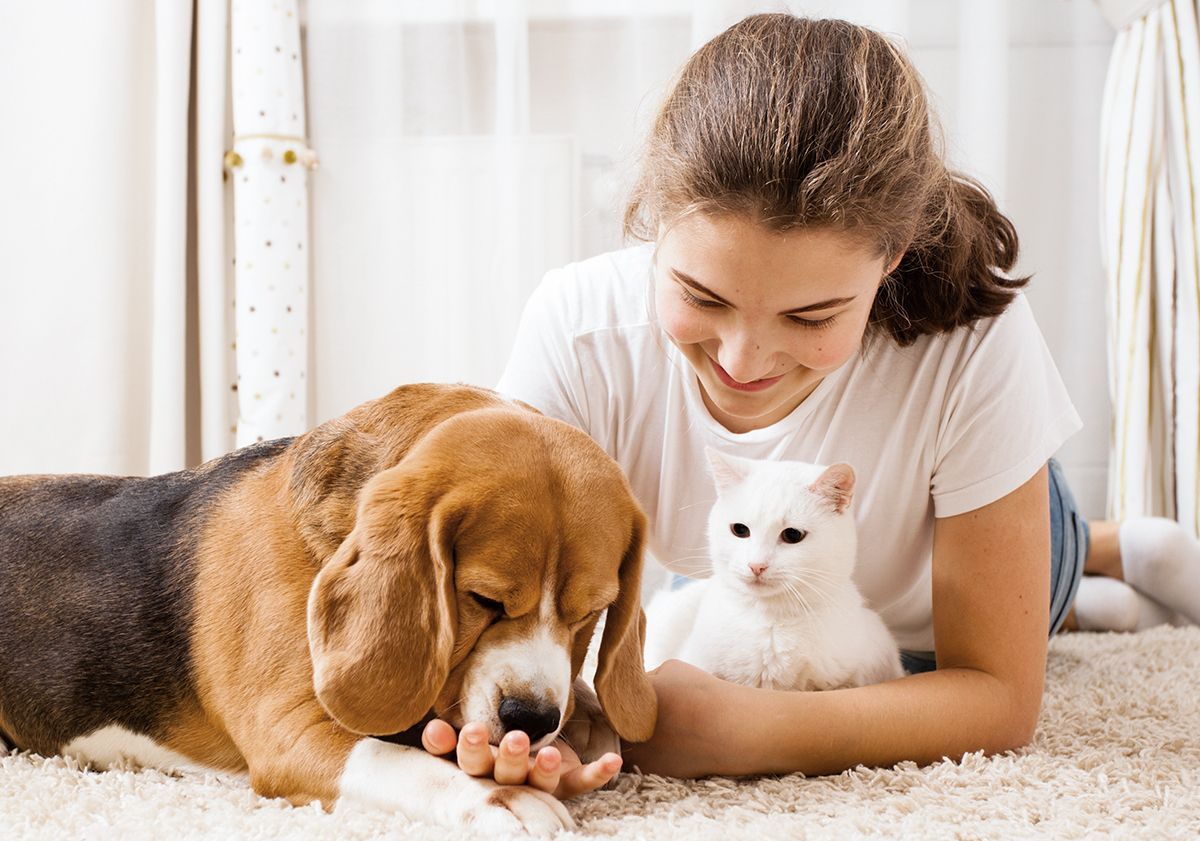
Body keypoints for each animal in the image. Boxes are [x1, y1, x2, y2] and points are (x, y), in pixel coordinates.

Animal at [0, 381, 657, 835]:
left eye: (589, 613)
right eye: (483, 599)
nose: (532, 719)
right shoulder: (288, 734)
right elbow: (397, 760)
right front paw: (506, 798)